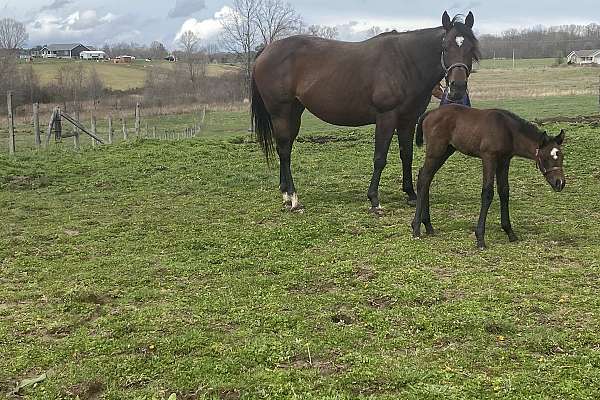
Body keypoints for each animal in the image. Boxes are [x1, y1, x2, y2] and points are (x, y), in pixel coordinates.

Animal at [251, 10, 480, 212]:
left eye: (471, 48)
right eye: (445, 47)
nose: (458, 87)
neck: (405, 61)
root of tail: (266, 50)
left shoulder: (407, 120)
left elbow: (406, 154)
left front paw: (411, 194)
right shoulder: (386, 117)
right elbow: (380, 157)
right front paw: (374, 199)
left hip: (294, 113)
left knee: (285, 148)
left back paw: (285, 194)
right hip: (280, 113)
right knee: (284, 150)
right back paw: (293, 197)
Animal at [412, 106, 568, 250]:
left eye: (561, 156)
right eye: (546, 157)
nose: (560, 183)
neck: (507, 130)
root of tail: (429, 113)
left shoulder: (504, 160)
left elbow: (504, 191)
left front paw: (510, 232)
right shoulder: (489, 158)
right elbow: (487, 193)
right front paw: (480, 238)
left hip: (446, 151)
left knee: (426, 178)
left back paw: (427, 226)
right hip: (436, 151)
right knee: (424, 178)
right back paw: (416, 228)